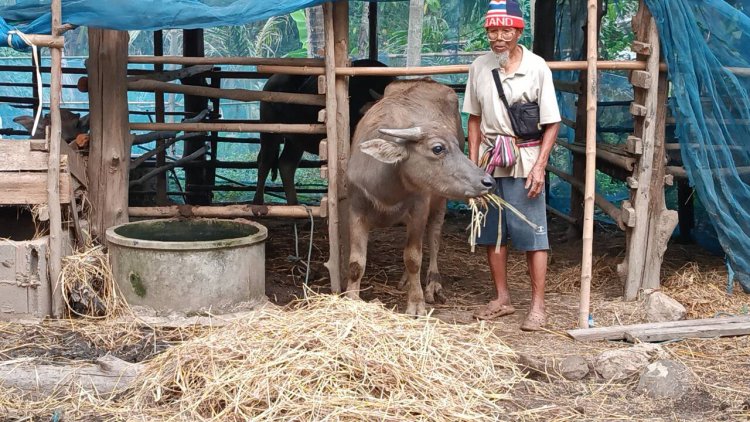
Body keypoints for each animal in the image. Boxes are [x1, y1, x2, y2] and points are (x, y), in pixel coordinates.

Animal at [256, 59, 396, 204]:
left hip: (296, 140)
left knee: (286, 165)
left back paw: (294, 203)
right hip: (269, 133)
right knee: (265, 162)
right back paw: (258, 203)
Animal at [346, 81, 500, 314]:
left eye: (457, 147)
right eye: (438, 148)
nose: (488, 181)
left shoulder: (419, 210)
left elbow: (413, 258)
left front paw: (416, 303)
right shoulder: (356, 210)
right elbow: (356, 263)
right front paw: (351, 298)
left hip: (439, 200)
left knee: (434, 236)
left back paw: (433, 284)